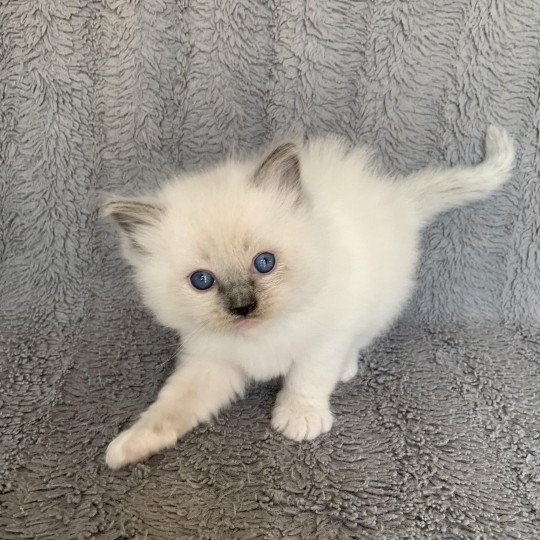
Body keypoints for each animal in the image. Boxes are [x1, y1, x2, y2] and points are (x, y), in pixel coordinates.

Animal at [102, 125, 516, 468]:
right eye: (202, 281)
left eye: (264, 262)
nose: (243, 307)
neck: (262, 336)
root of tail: (396, 197)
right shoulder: (211, 363)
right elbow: (171, 408)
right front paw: (130, 445)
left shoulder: (325, 337)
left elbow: (308, 379)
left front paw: (300, 419)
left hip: (380, 300)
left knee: (359, 340)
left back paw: (346, 368)